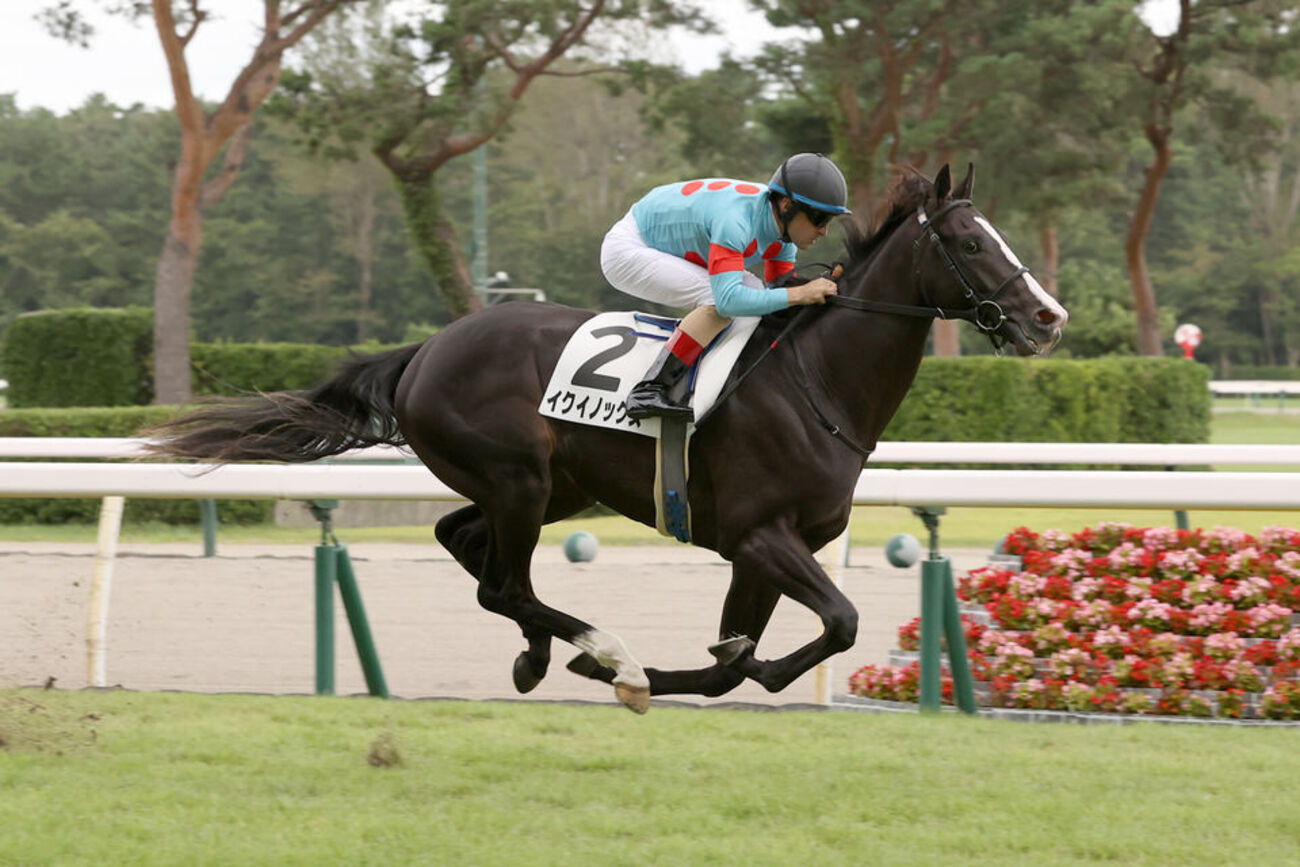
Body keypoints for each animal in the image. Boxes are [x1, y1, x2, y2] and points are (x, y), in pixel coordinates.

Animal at [146, 164, 1068, 713]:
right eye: (973, 241)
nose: (1048, 319)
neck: (818, 384)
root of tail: (427, 347)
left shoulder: (764, 547)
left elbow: (731, 659)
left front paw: (712, 669)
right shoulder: (761, 535)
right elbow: (836, 620)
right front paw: (652, 673)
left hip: (554, 488)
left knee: (467, 545)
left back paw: (543, 655)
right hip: (518, 479)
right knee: (503, 583)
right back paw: (602, 650)